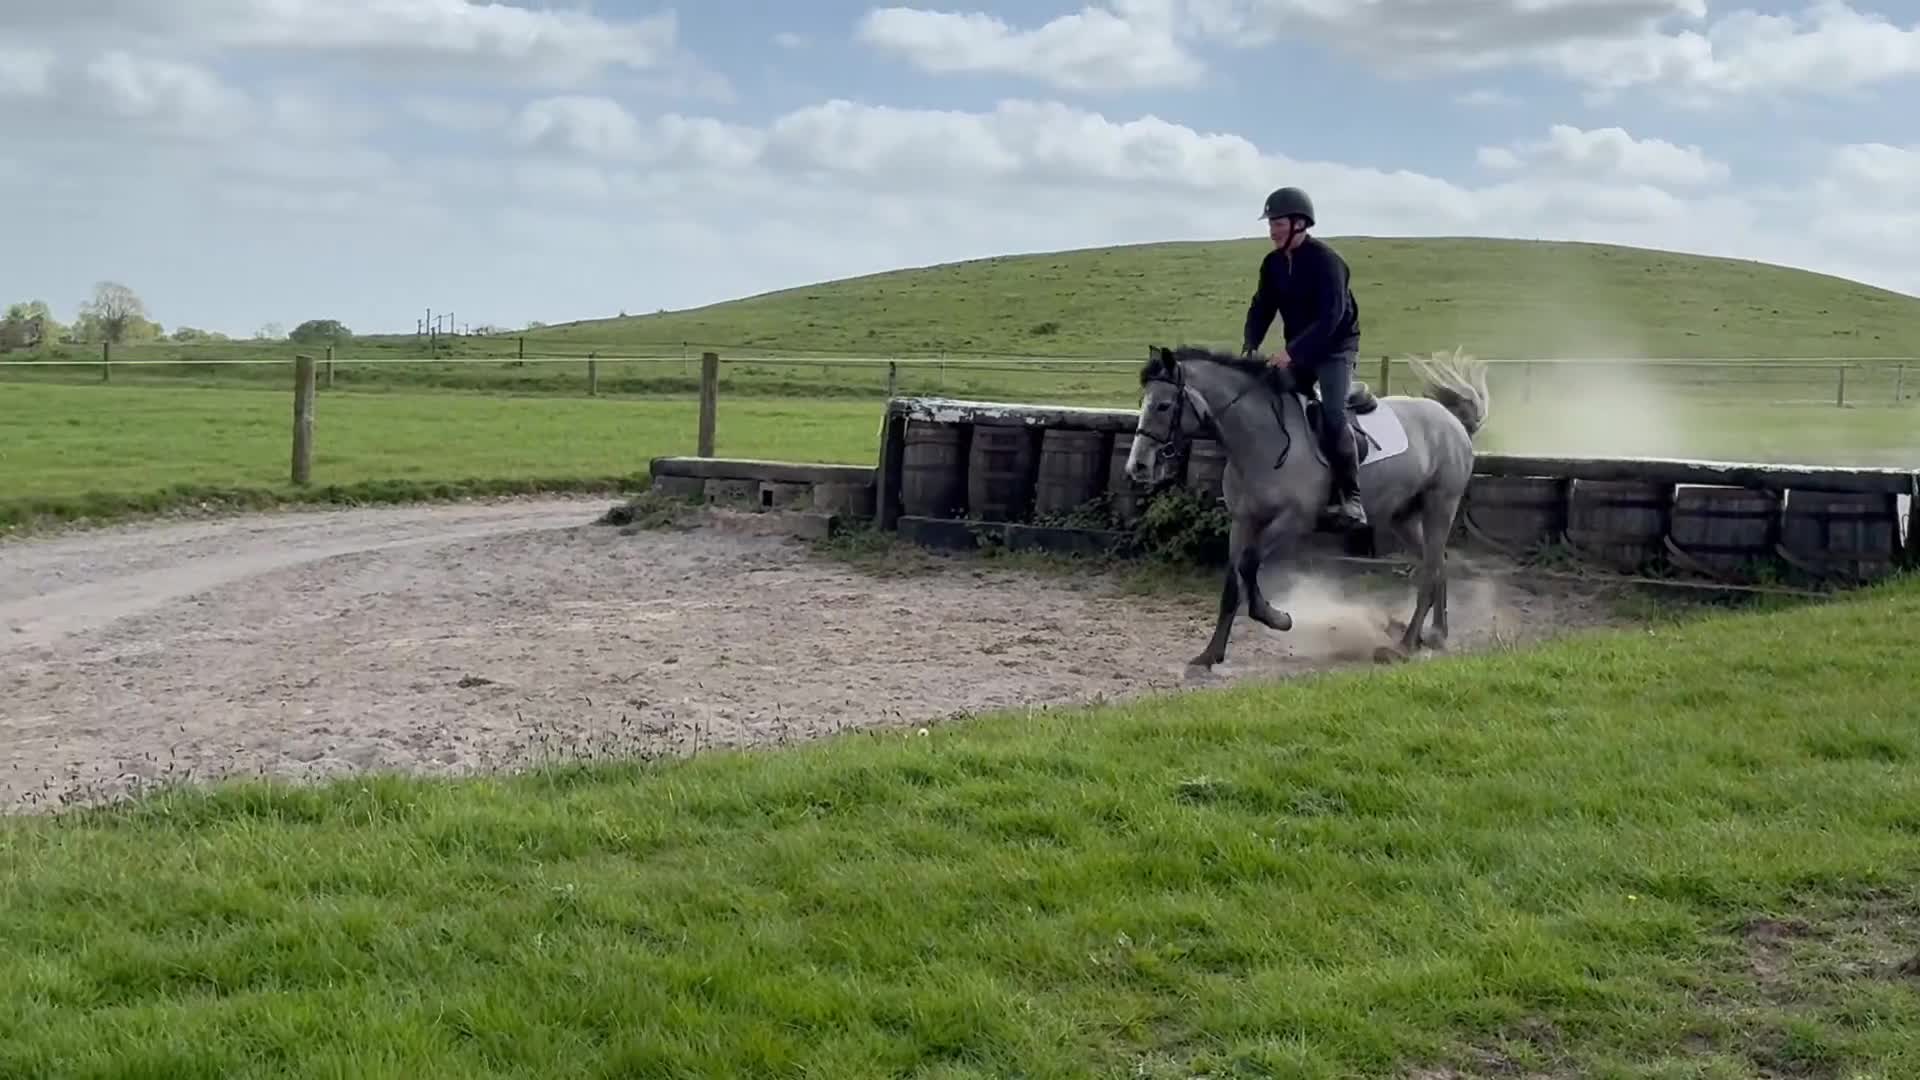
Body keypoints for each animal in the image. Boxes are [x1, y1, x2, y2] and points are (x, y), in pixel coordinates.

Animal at [1124, 343, 1492, 670]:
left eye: (1164, 405)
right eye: (1143, 402)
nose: (1137, 466)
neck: (1261, 440)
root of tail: (1451, 419)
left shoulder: (1293, 520)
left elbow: (1249, 563)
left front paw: (1277, 618)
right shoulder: (1243, 521)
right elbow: (1233, 583)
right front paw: (1209, 655)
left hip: (1439, 506)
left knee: (1430, 571)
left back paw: (1403, 646)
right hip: (1402, 517)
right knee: (1438, 564)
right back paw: (1435, 635)